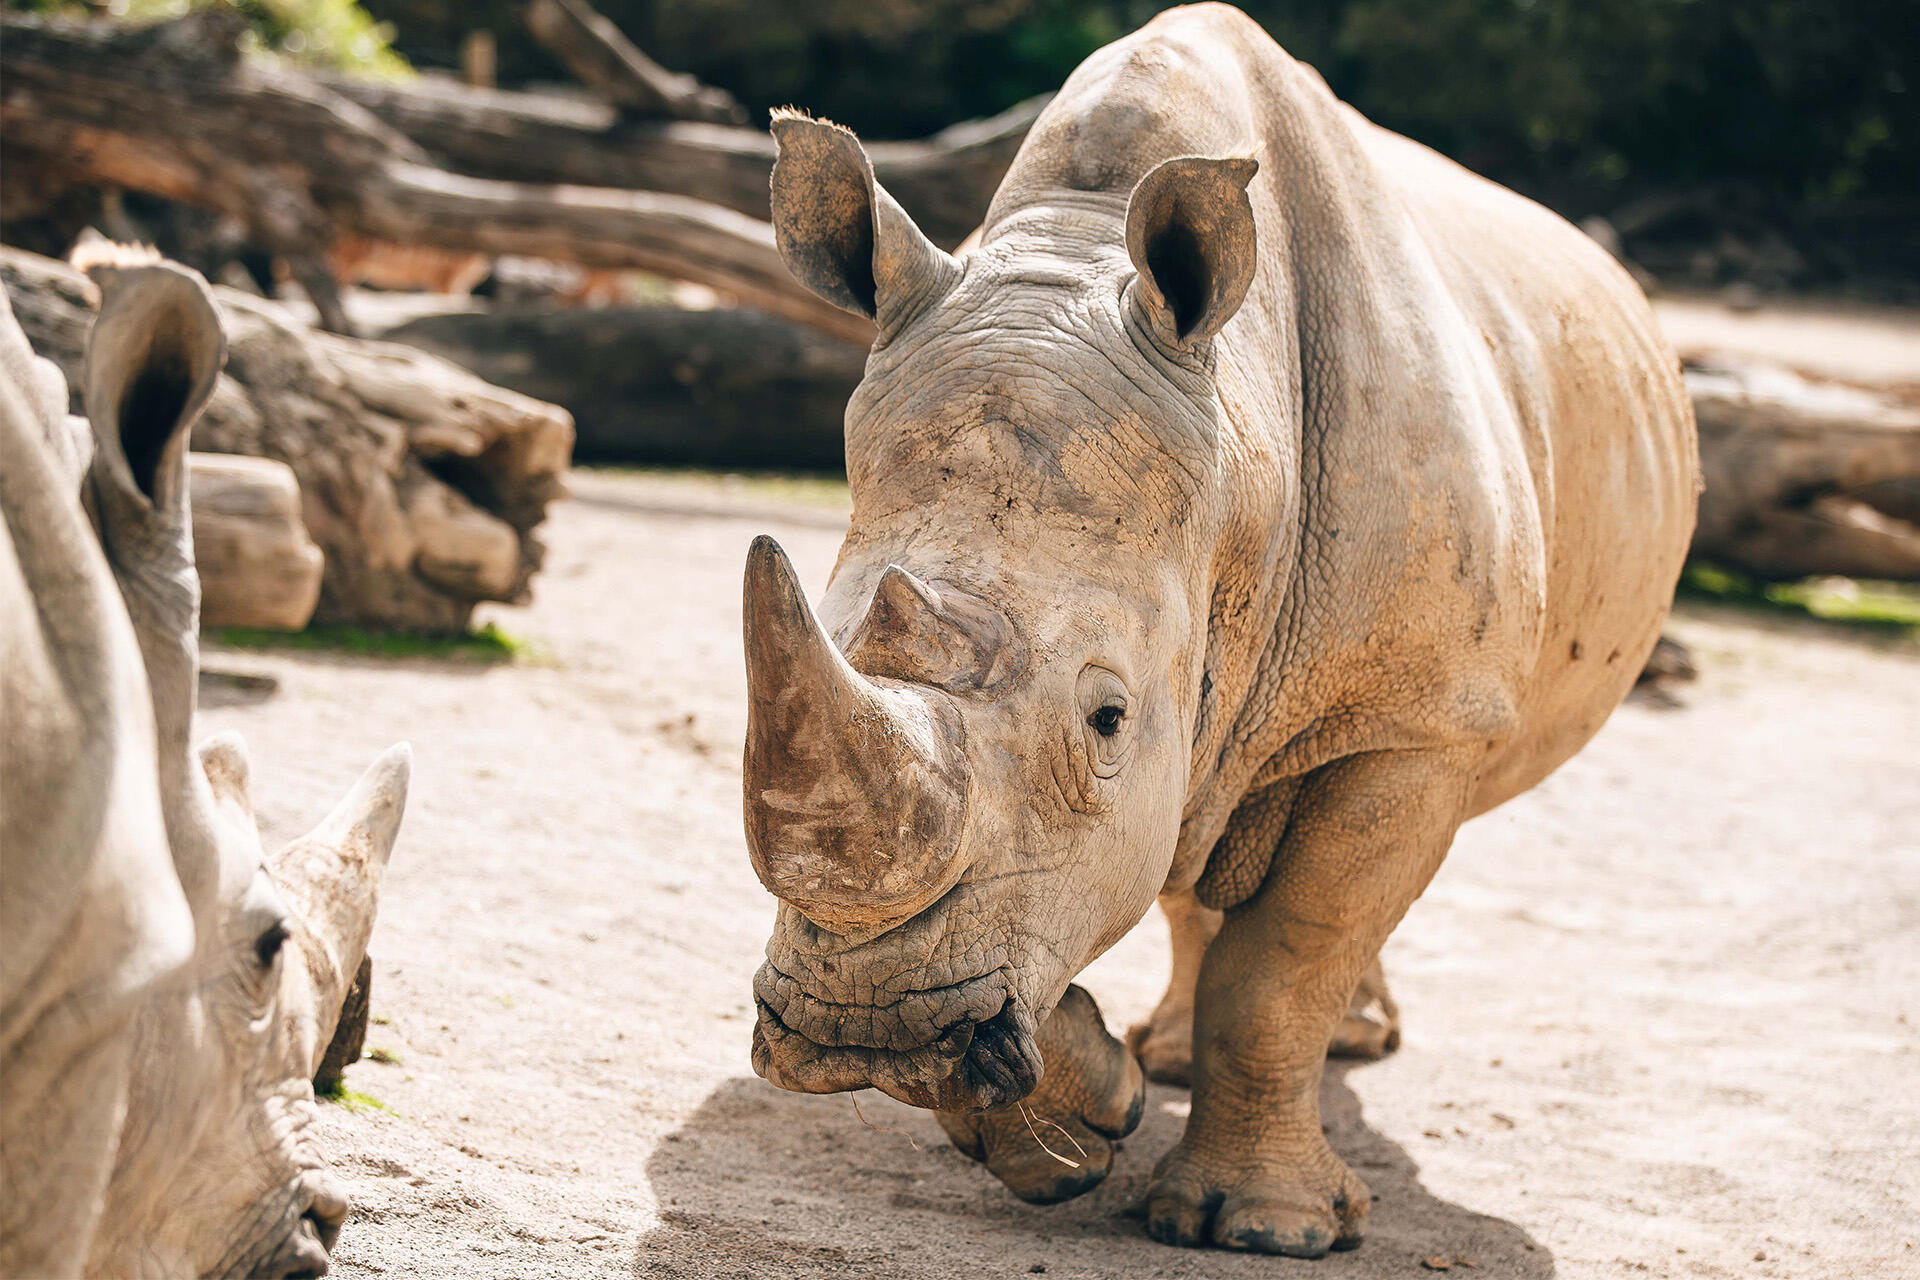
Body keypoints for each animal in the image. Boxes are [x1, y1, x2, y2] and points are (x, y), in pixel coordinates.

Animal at [739, 3, 1697, 1257]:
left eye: (1106, 718)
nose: (858, 1026)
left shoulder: (1411, 718)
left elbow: (1286, 956)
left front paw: (1262, 1230)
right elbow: (1104, 891)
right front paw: (1080, 1121)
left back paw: (1331, 1057)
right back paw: (1167, 1059)